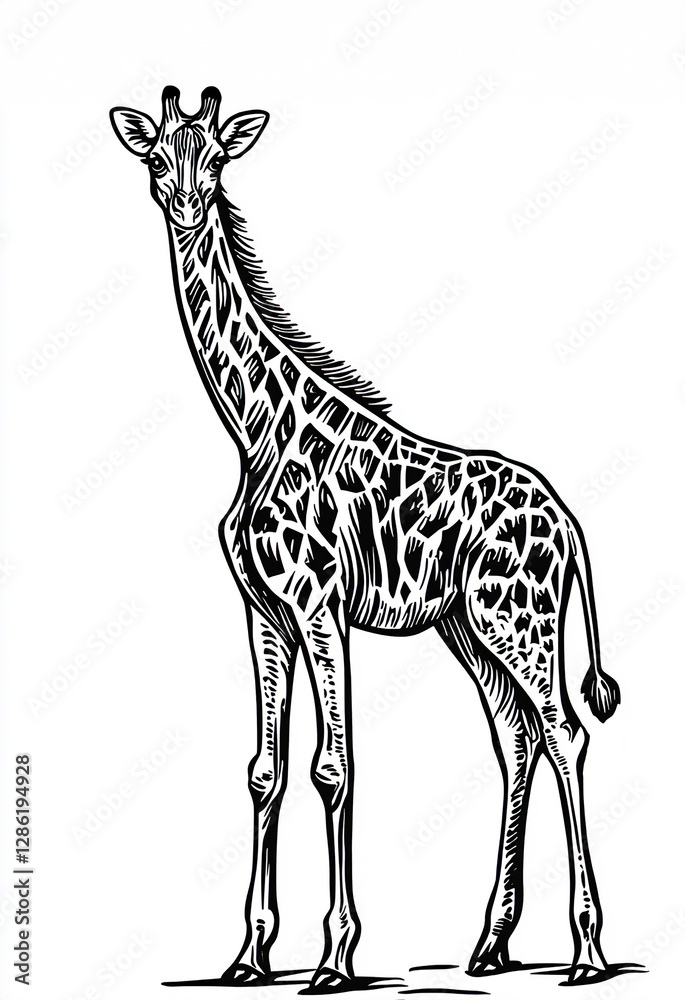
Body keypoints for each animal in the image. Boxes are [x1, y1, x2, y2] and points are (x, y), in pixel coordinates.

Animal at [111, 86, 621, 991]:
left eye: (216, 158)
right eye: (156, 157)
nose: (184, 204)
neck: (252, 428)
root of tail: (568, 522)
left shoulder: (319, 604)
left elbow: (332, 767)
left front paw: (334, 958)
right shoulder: (263, 611)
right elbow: (265, 772)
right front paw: (248, 956)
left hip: (519, 621)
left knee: (565, 733)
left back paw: (588, 950)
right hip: (468, 628)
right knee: (515, 738)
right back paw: (489, 944)